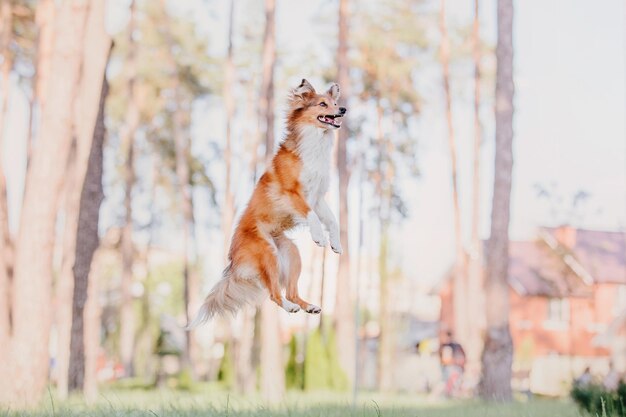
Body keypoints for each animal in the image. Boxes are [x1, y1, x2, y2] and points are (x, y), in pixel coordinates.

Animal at [185, 77, 346, 324]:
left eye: (335, 103)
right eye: (322, 104)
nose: (343, 110)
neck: (315, 141)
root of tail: (232, 261)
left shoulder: (318, 197)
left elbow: (332, 220)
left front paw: (335, 243)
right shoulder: (292, 193)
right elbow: (311, 215)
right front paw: (319, 237)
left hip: (291, 254)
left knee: (290, 292)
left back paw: (308, 307)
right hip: (268, 254)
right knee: (274, 294)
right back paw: (290, 307)